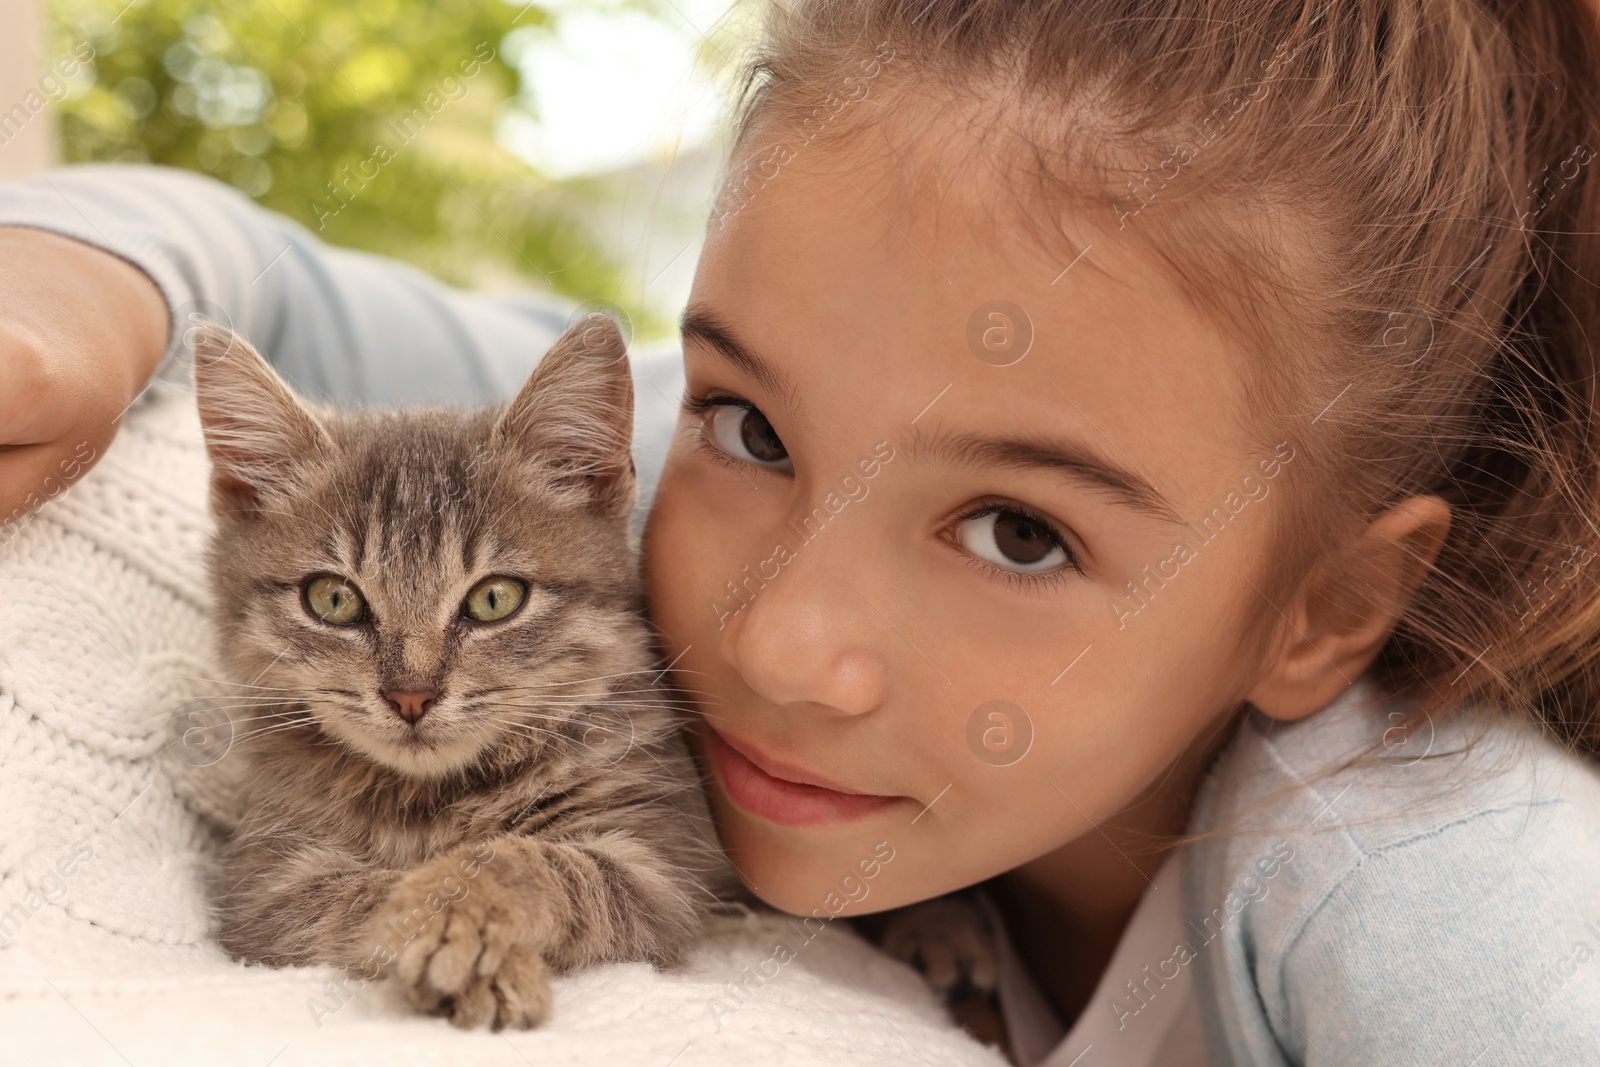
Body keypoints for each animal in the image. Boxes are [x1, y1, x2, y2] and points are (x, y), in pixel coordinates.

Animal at [188, 319, 732, 1036]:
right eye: (332, 599)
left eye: (495, 599)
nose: (410, 695)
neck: (436, 797)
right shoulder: (270, 884)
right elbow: (357, 898)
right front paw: (477, 958)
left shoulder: (659, 868)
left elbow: (529, 859)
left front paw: (460, 912)